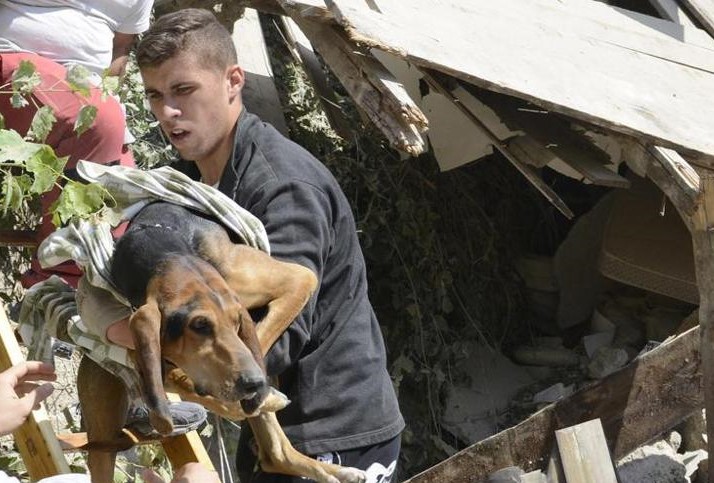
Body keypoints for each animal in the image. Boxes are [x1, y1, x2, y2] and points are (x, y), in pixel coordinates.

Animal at [79, 201, 368, 483]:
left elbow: (256, 344)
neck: (164, 246)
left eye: (236, 322)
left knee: (277, 453)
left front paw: (256, 398)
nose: (254, 383)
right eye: (199, 325)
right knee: (274, 455)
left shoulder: (299, 280)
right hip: (102, 440)